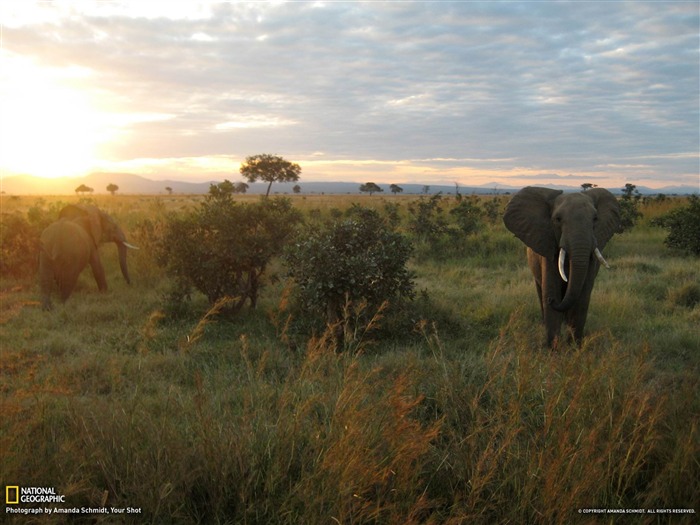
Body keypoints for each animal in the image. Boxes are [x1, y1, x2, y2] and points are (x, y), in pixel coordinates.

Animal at [504, 187, 616, 348]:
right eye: (557, 219)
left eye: (595, 219)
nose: (551, 301)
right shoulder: (548, 249)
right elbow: (551, 289)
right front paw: (553, 349)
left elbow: (583, 296)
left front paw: (575, 347)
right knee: (540, 290)